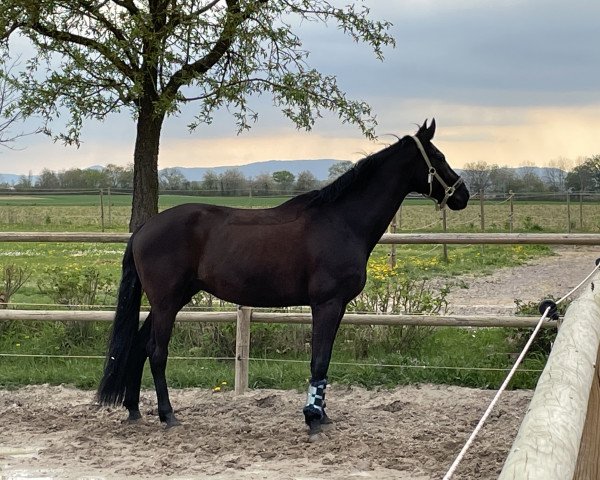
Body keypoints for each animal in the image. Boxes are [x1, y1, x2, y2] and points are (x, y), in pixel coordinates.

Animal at [97, 119, 468, 436]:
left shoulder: (337, 306)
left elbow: (324, 360)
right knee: (157, 351)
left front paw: (322, 414)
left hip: (169, 301)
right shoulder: (326, 303)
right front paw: (313, 419)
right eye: (438, 156)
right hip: (167, 301)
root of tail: (145, 228)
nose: (462, 194)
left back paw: (134, 409)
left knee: (139, 347)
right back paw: (168, 415)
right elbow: (319, 358)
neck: (340, 221)